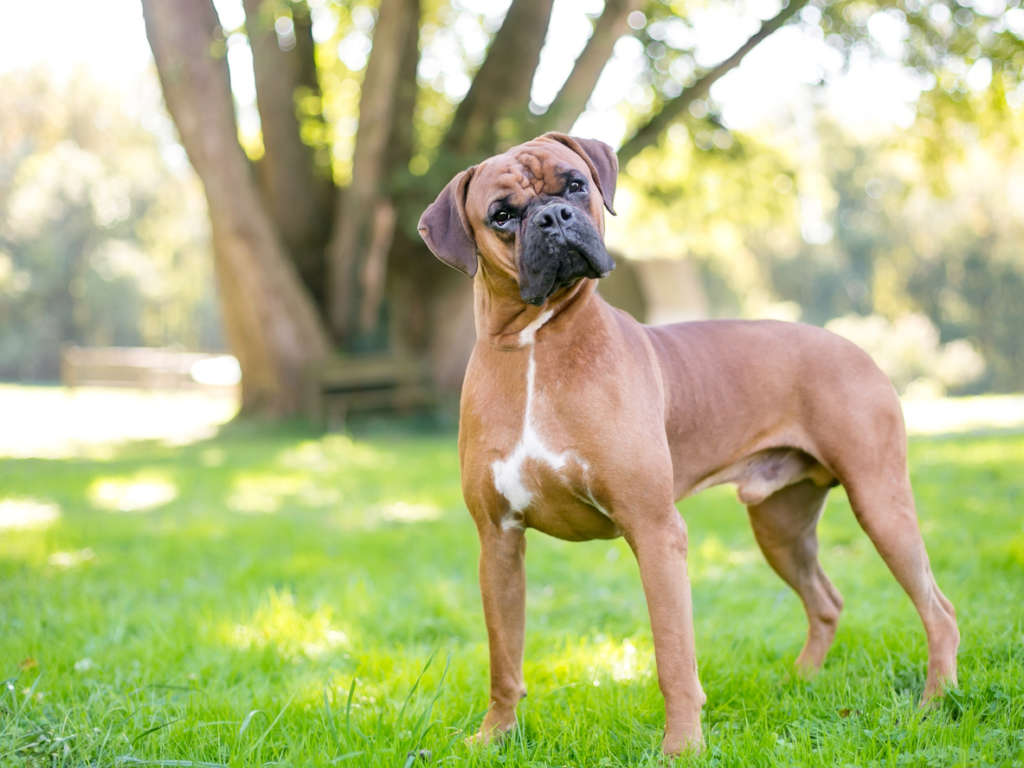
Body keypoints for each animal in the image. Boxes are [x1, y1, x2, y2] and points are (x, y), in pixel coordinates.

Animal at [415, 135, 958, 753]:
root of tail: (853, 347)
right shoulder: (499, 542)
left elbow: (674, 657)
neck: (536, 344)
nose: (554, 217)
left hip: (879, 503)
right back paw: (801, 682)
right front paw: (494, 737)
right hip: (781, 528)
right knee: (826, 601)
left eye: (575, 184)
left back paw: (934, 702)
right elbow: (504, 658)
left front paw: (682, 747)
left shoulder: (655, 532)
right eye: (502, 215)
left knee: (939, 610)